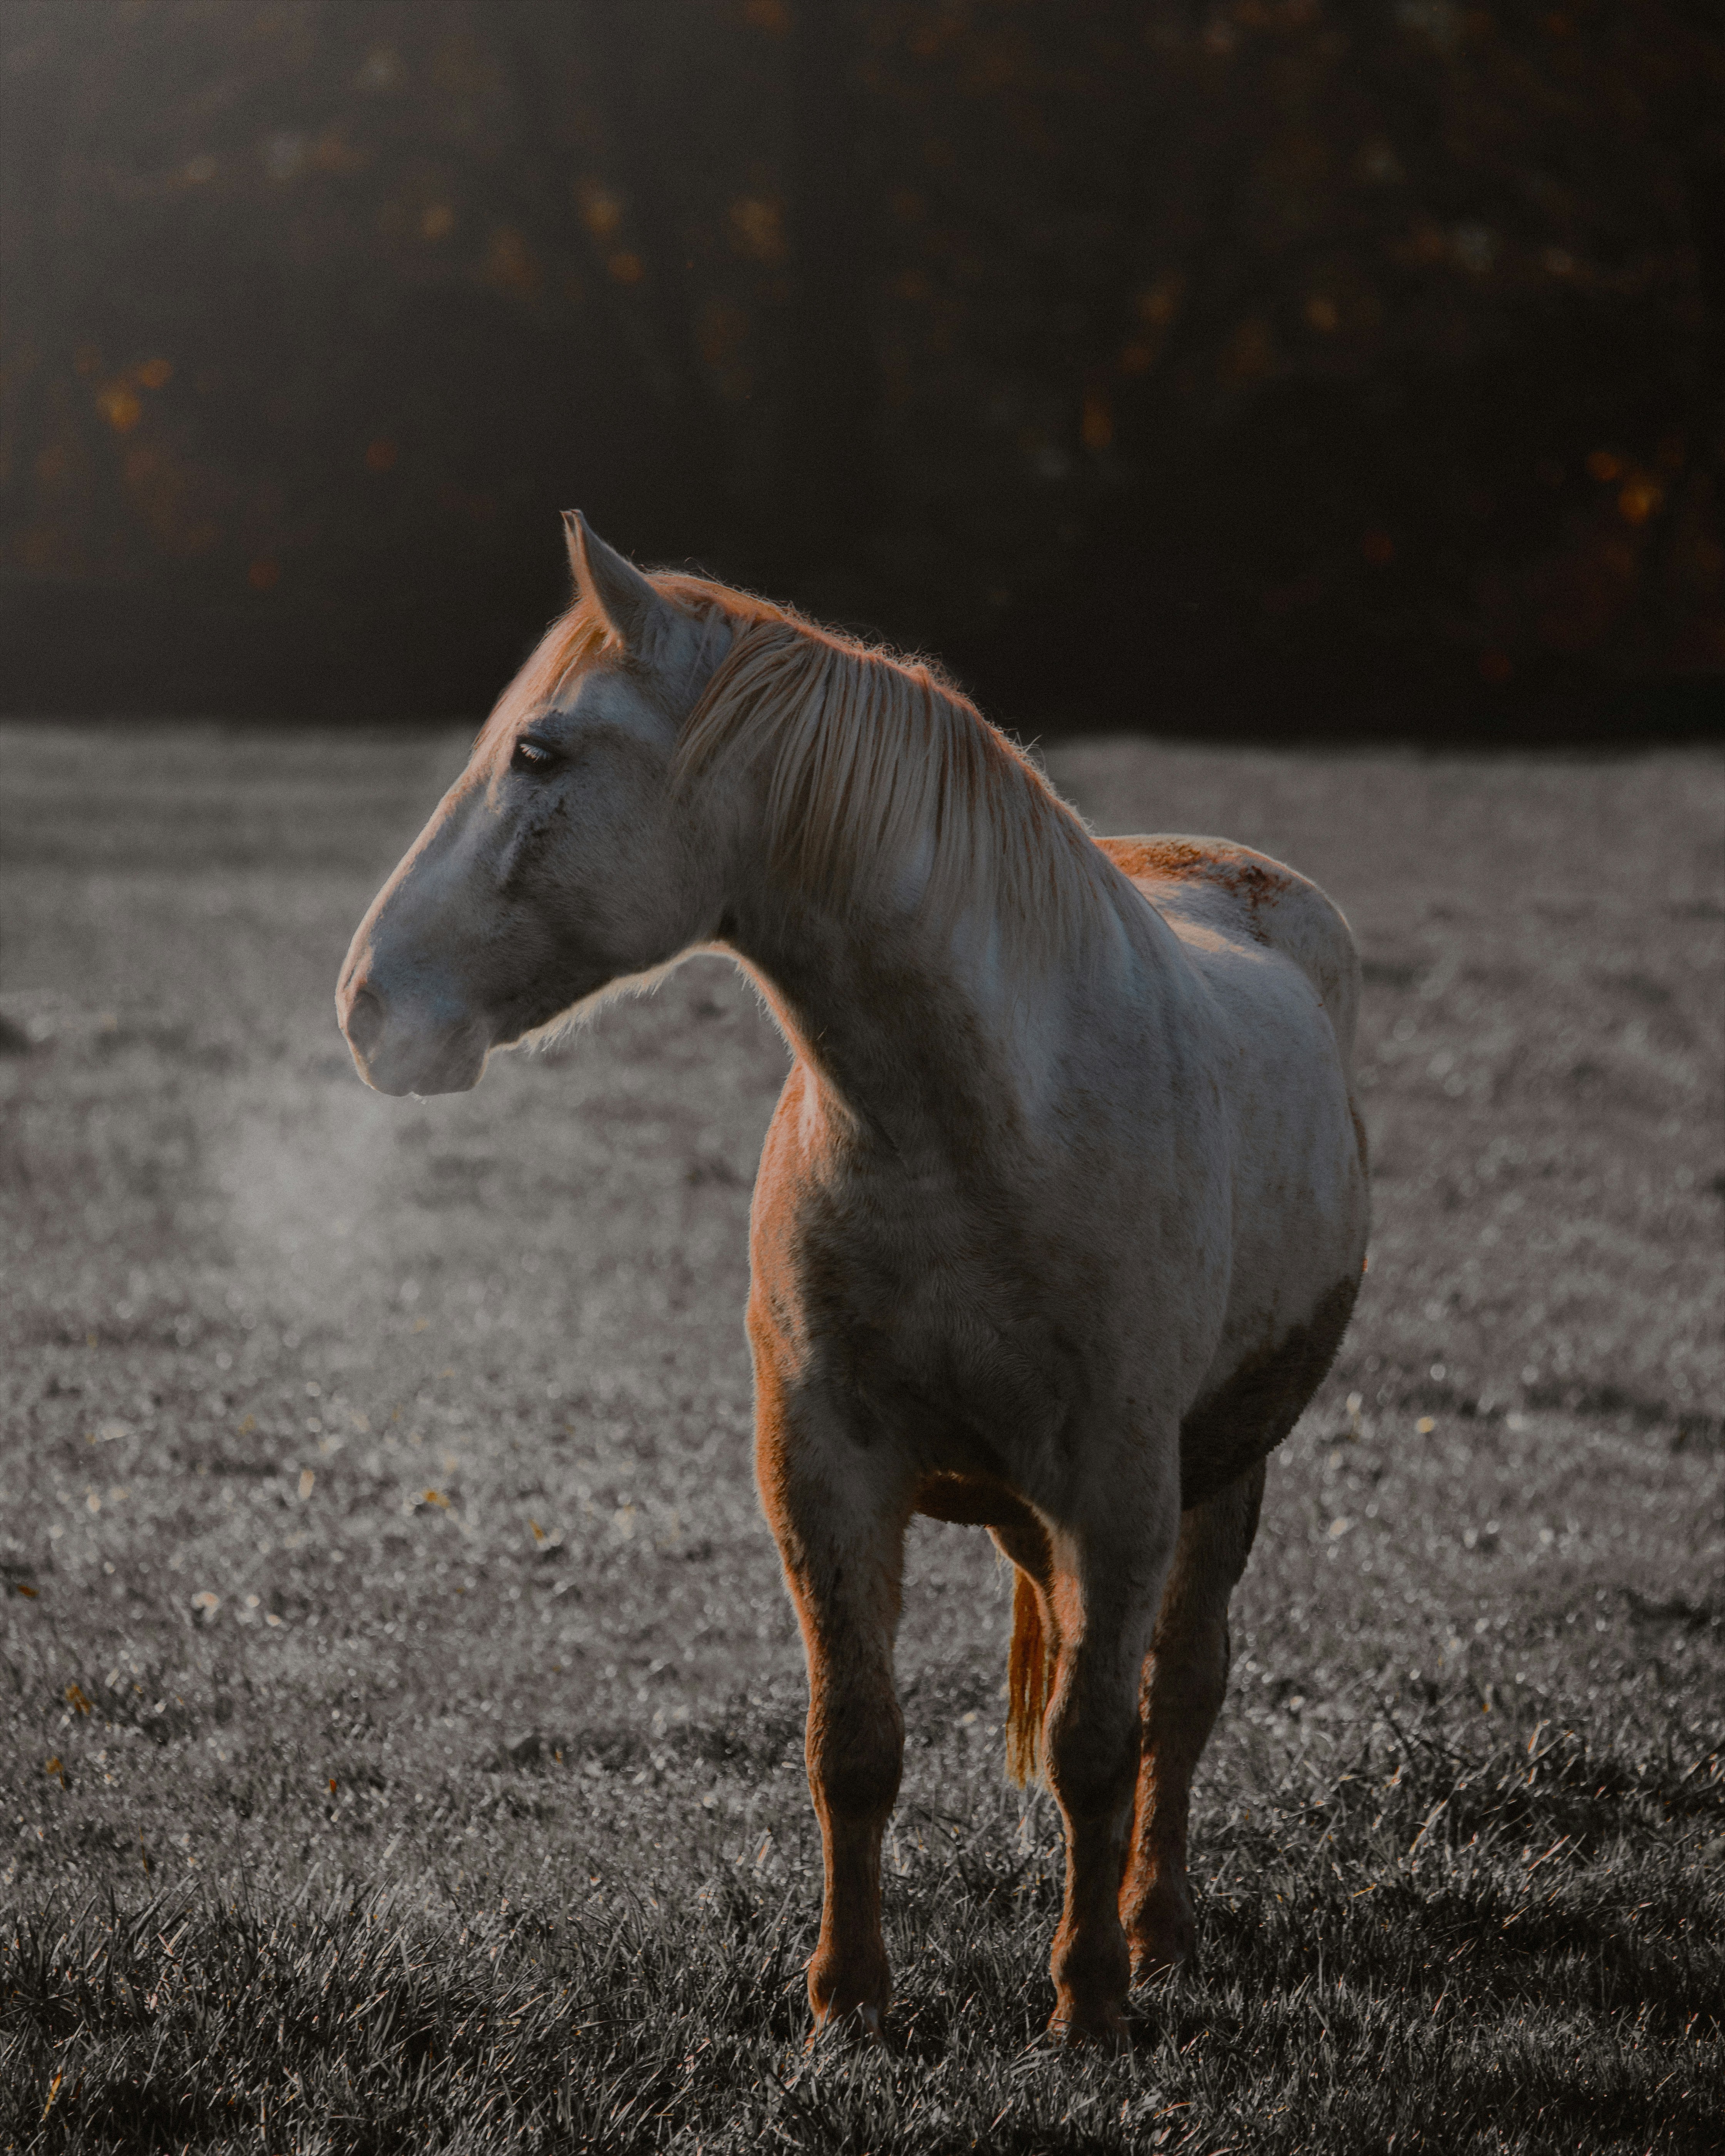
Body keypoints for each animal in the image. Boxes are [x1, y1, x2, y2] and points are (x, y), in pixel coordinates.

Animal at [337, 515, 1369, 2047]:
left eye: (539, 751)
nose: (367, 1003)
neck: (979, 1127)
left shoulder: (1122, 1487)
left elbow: (1097, 1744)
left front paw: (1085, 2007)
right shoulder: (821, 1468)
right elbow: (855, 1745)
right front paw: (847, 2002)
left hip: (1224, 1470)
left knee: (1182, 1695)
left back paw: (1157, 1931)